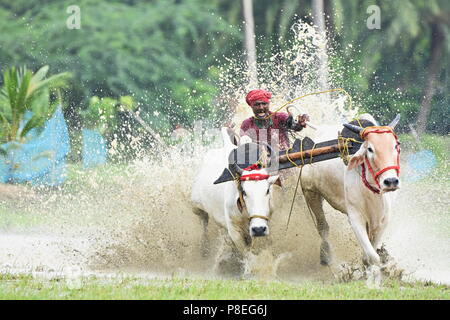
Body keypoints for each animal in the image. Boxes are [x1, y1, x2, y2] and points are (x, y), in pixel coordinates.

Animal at [192, 127, 280, 260]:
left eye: (268, 190)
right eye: (244, 192)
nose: (258, 229)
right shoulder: (234, 230)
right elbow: (247, 254)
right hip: (195, 205)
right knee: (204, 221)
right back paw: (204, 248)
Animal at [298, 114, 400, 266]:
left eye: (395, 146)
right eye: (370, 149)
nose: (391, 181)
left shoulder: (383, 220)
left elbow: (371, 251)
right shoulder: (355, 217)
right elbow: (373, 257)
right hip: (310, 192)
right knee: (322, 227)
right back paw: (325, 255)